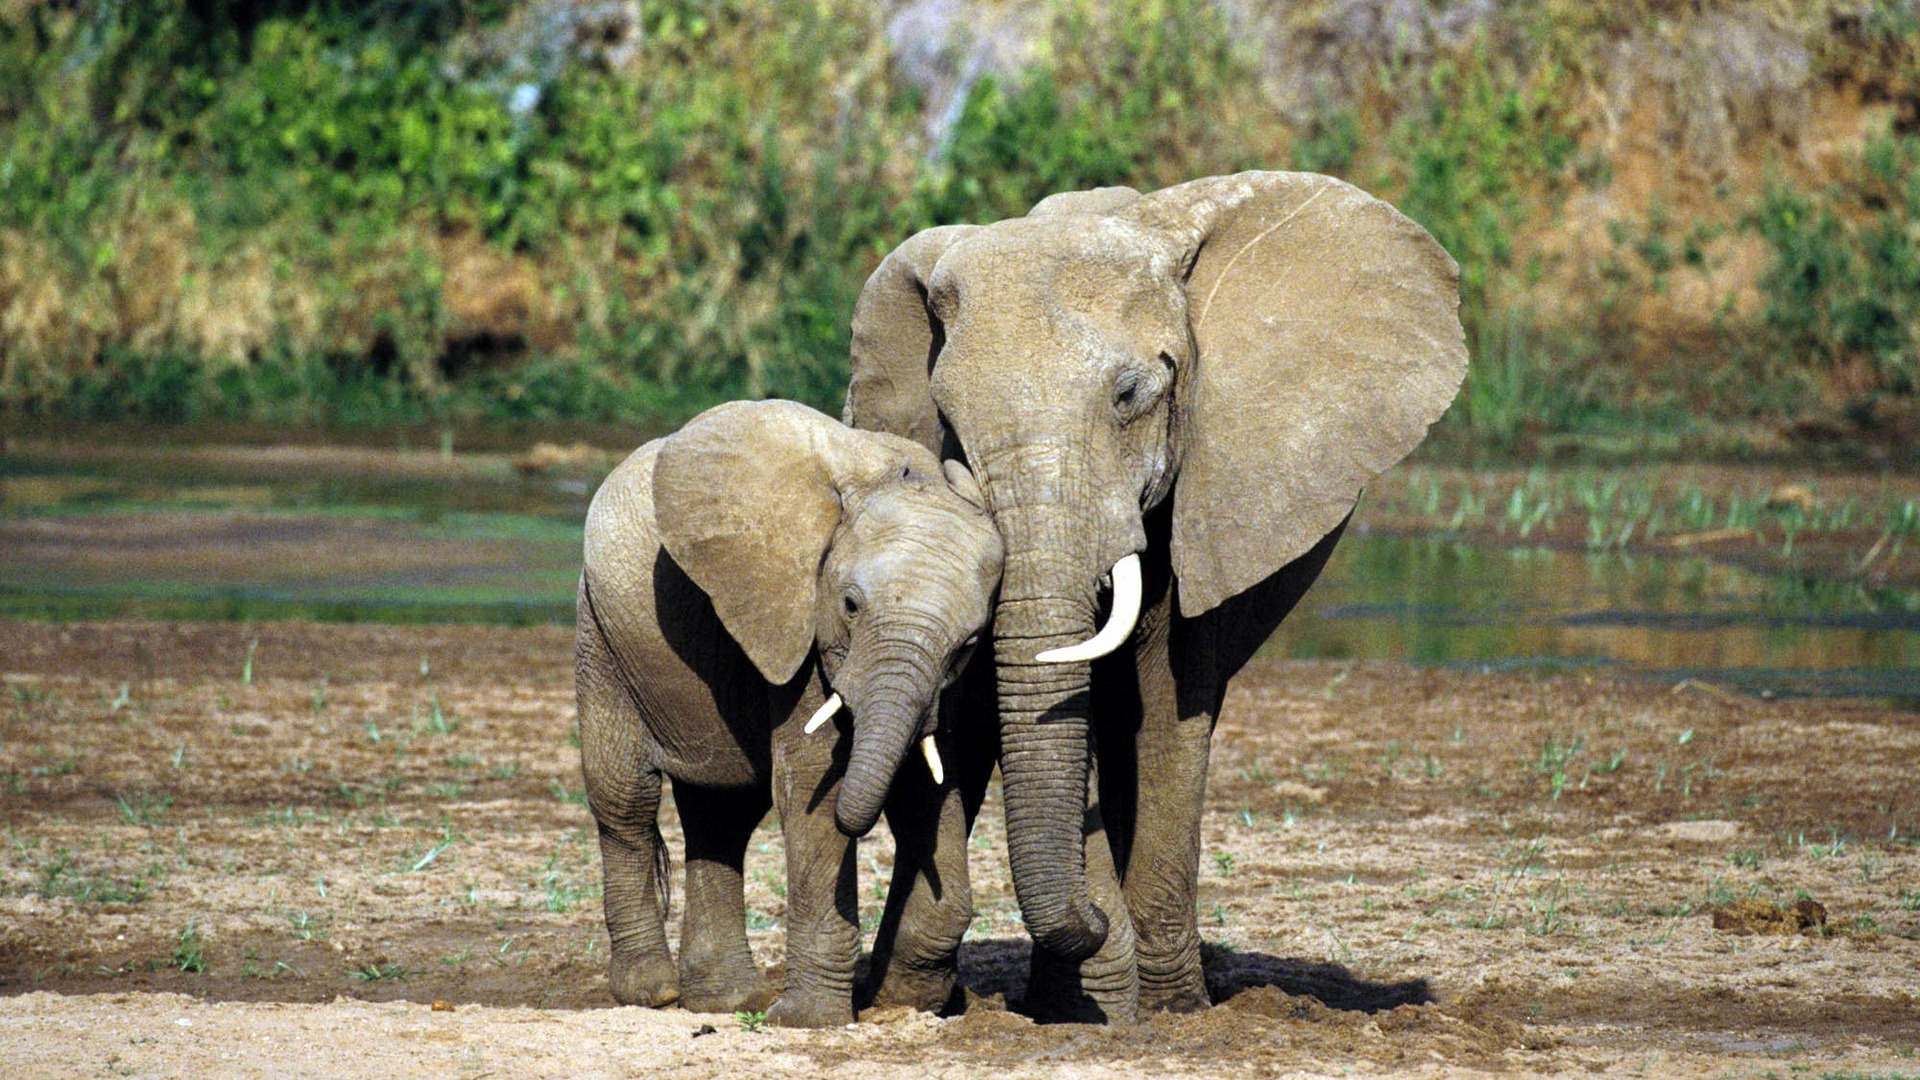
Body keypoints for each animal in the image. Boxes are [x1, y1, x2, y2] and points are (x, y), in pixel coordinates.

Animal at [572, 397, 1006, 1022]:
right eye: (849, 605)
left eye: (970, 642)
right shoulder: (796, 622)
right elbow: (811, 784)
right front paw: (810, 1021)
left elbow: (929, 784)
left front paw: (905, 1003)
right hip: (602, 636)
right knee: (625, 801)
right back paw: (654, 992)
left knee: (721, 816)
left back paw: (724, 1001)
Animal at [844, 170, 1466, 1014]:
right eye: (947, 421)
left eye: (1130, 396)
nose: (1091, 917)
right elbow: (984, 701)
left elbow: (1171, 700)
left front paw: (1167, 1010)